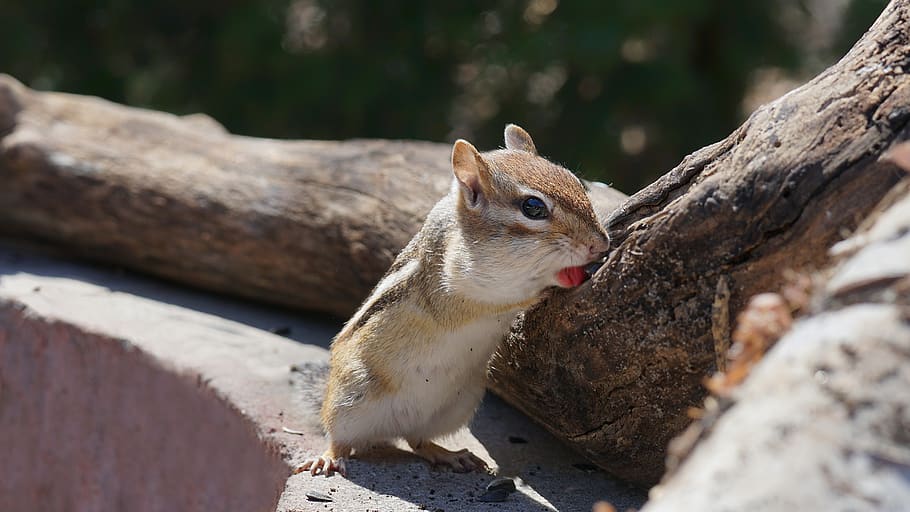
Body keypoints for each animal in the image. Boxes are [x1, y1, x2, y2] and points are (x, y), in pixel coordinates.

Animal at [298, 124, 610, 477]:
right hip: (349, 399)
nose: (600, 244)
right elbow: (502, 298)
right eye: (533, 207)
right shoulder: (456, 287)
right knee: (340, 437)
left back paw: (450, 455)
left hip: (459, 403)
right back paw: (329, 456)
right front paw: (549, 285)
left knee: (418, 441)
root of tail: (390, 429)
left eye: (577, 182)